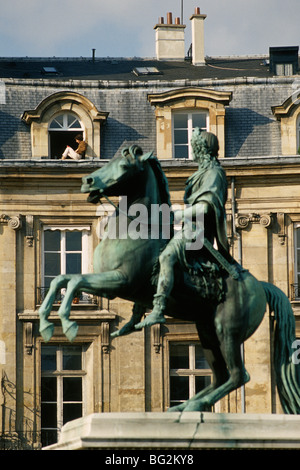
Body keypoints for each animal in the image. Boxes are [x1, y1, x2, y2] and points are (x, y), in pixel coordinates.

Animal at [38, 147, 300, 414]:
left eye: (124, 165)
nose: (87, 180)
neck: (136, 228)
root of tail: (261, 285)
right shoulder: (109, 284)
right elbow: (61, 280)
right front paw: (46, 322)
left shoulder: (119, 282)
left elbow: (73, 282)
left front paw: (66, 324)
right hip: (206, 333)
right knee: (220, 376)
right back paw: (184, 406)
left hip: (226, 330)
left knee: (239, 375)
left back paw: (195, 403)